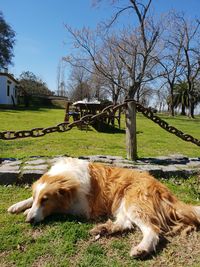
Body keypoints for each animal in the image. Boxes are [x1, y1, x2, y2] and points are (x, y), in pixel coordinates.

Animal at [7, 158, 200, 258]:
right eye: (37, 198)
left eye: (46, 200)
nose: (29, 220)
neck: (66, 178)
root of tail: (164, 189)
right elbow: (28, 200)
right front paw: (20, 206)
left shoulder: (82, 207)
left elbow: (60, 208)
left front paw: (29, 211)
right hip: (121, 203)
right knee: (126, 223)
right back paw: (104, 228)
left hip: (133, 203)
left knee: (152, 229)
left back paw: (142, 248)